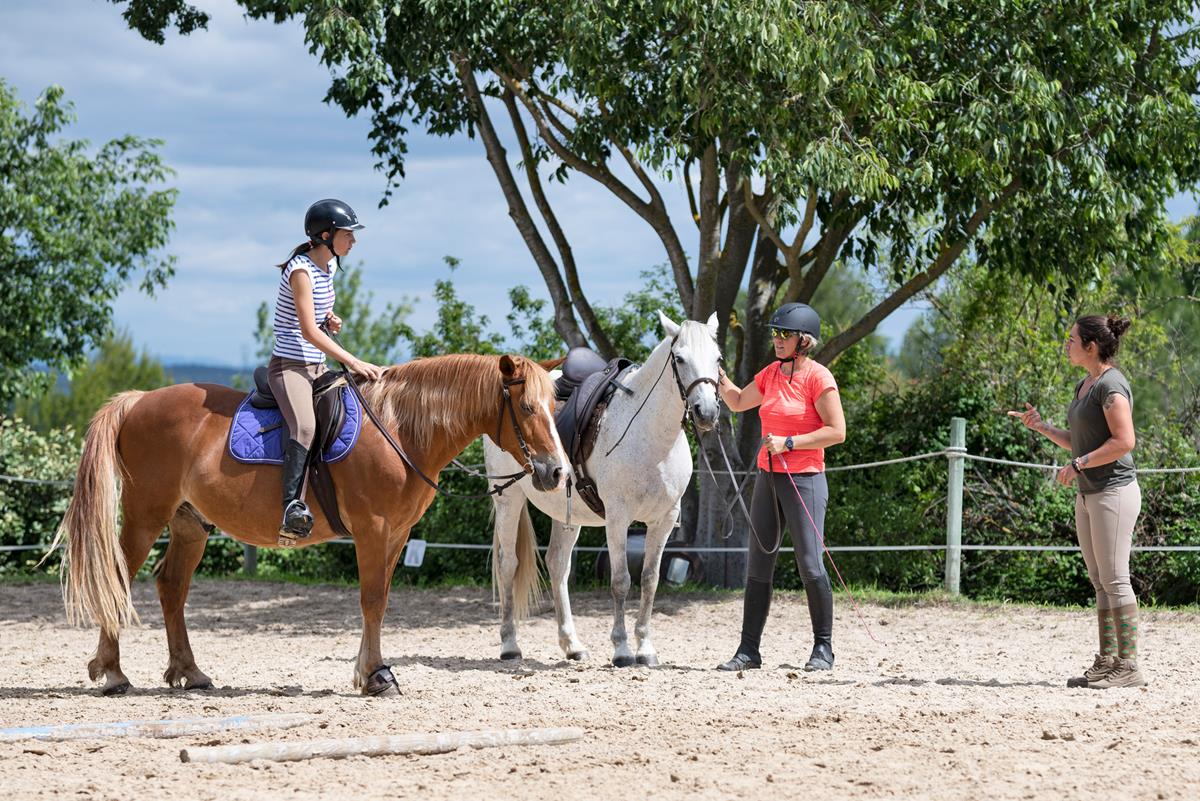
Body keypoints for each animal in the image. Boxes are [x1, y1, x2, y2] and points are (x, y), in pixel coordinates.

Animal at [51, 352, 566, 695]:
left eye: (555, 408)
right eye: (526, 409)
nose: (556, 472)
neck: (399, 429)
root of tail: (138, 402)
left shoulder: (397, 534)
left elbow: (381, 600)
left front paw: (368, 670)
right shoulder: (373, 529)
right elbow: (372, 600)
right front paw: (376, 676)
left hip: (190, 525)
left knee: (171, 586)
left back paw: (189, 673)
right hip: (146, 516)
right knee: (118, 578)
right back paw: (112, 672)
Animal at [480, 309, 720, 666]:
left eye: (718, 359)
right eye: (679, 358)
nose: (707, 412)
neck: (651, 436)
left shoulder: (663, 520)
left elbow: (650, 581)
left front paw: (645, 649)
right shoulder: (618, 519)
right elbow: (621, 581)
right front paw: (622, 650)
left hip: (566, 514)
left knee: (557, 565)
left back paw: (572, 645)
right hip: (508, 500)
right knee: (508, 563)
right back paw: (510, 645)